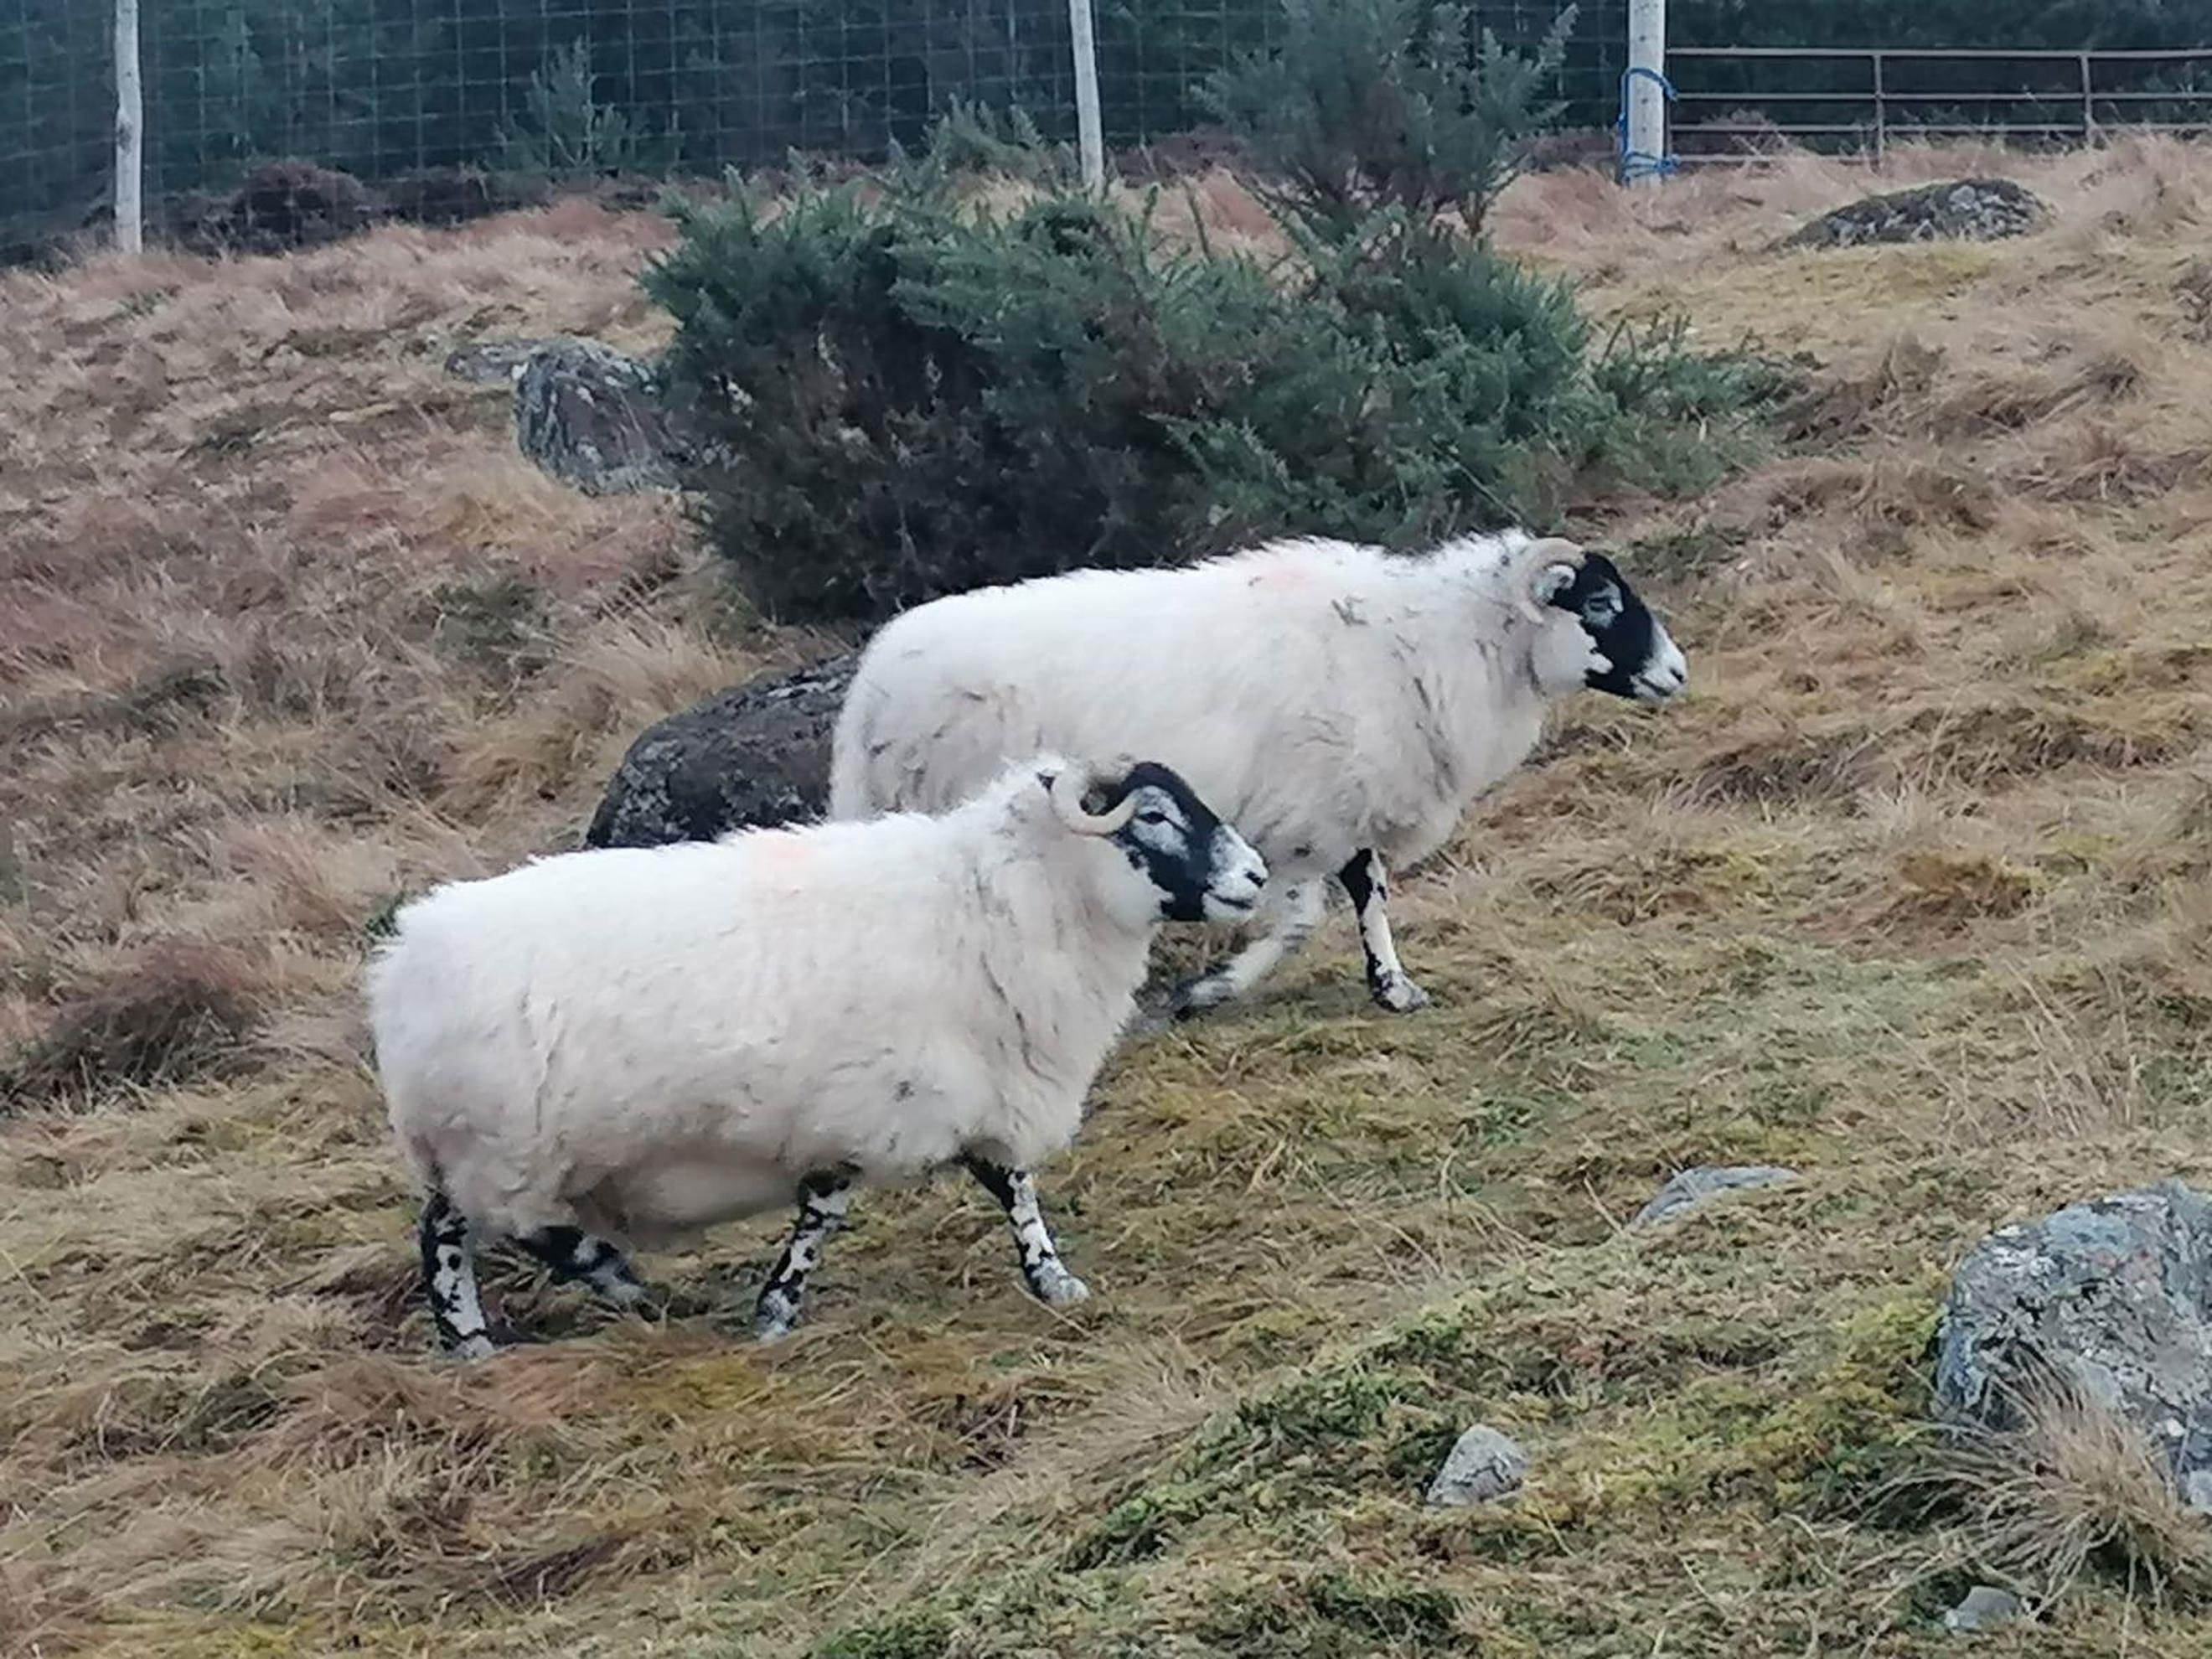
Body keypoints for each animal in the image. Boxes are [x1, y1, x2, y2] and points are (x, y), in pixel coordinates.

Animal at [369, 753, 1267, 1357]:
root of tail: (403, 962)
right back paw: (535, 1314)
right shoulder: (869, 1101)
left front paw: (1052, 1279)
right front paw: (775, 1310)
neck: (997, 898)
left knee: (471, 1228)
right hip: (495, 1142)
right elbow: (825, 1210)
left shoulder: (972, 1086)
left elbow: (1011, 1188)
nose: (1257, 876)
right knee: (461, 1234)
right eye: (1154, 817)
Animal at [829, 529, 1687, 1018]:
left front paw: (1393, 986)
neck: (1425, 645)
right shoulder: (1306, 813)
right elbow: (1308, 916)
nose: (1677, 673)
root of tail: (874, 682)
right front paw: (1208, 991)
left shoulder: (1345, 802)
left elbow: (1370, 894)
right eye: (1600, 601)